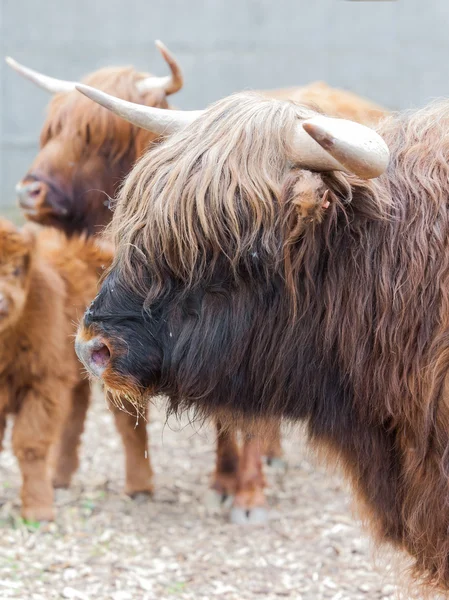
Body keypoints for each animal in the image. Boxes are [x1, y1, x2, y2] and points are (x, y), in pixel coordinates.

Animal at [0, 217, 112, 520]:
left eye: (16, 269)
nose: (1, 301)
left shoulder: (44, 385)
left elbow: (31, 445)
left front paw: (37, 509)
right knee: (74, 420)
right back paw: (59, 477)